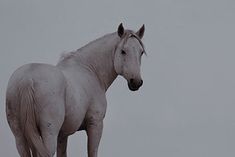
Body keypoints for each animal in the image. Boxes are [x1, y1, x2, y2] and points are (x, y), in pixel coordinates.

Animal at [5, 23, 145, 157]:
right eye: (123, 51)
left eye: (141, 52)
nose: (136, 82)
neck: (90, 70)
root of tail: (27, 79)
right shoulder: (95, 123)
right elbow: (92, 152)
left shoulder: (62, 134)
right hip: (49, 132)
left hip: (20, 136)